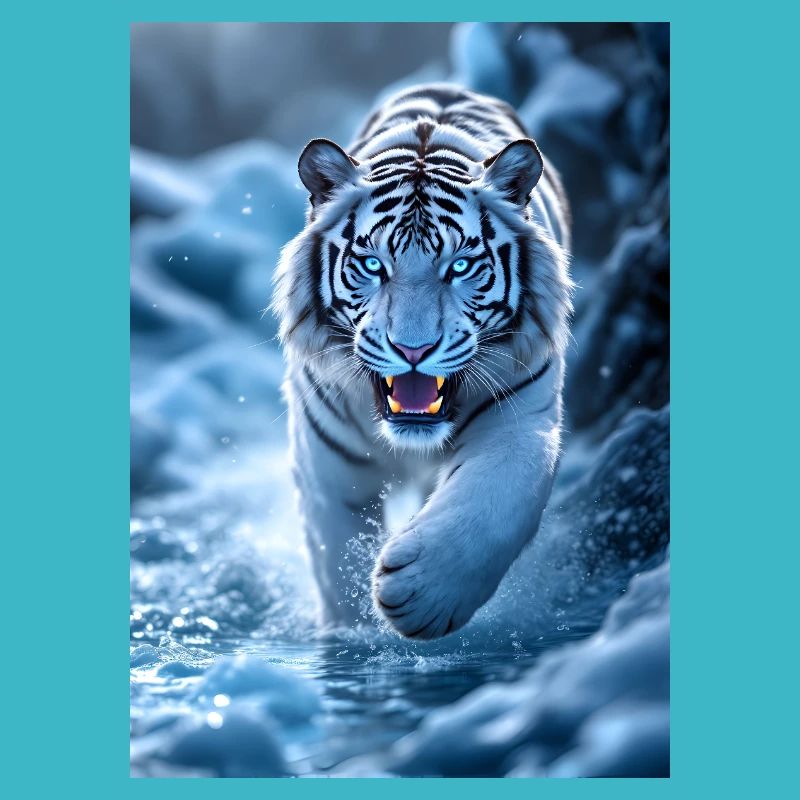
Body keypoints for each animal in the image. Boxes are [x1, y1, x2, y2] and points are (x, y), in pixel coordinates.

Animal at [272, 83, 572, 639]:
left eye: (461, 266)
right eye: (372, 265)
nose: (413, 350)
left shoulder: (521, 419)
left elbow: (495, 500)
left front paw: (422, 595)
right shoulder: (327, 462)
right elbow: (336, 561)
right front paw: (353, 634)